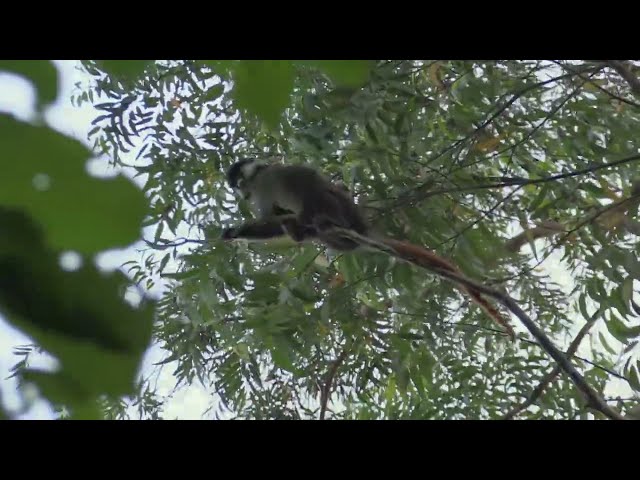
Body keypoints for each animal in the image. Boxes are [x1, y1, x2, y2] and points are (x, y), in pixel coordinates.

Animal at [221, 158, 515, 340]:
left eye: (239, 184)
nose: (241, 194)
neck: (260, 178)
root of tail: (361, 227)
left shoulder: (270, 178)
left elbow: (304, 185)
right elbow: (274, 218)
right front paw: (235, 233)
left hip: (341, 208)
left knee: (324, 194)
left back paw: (321, 221)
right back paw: (304, 231)